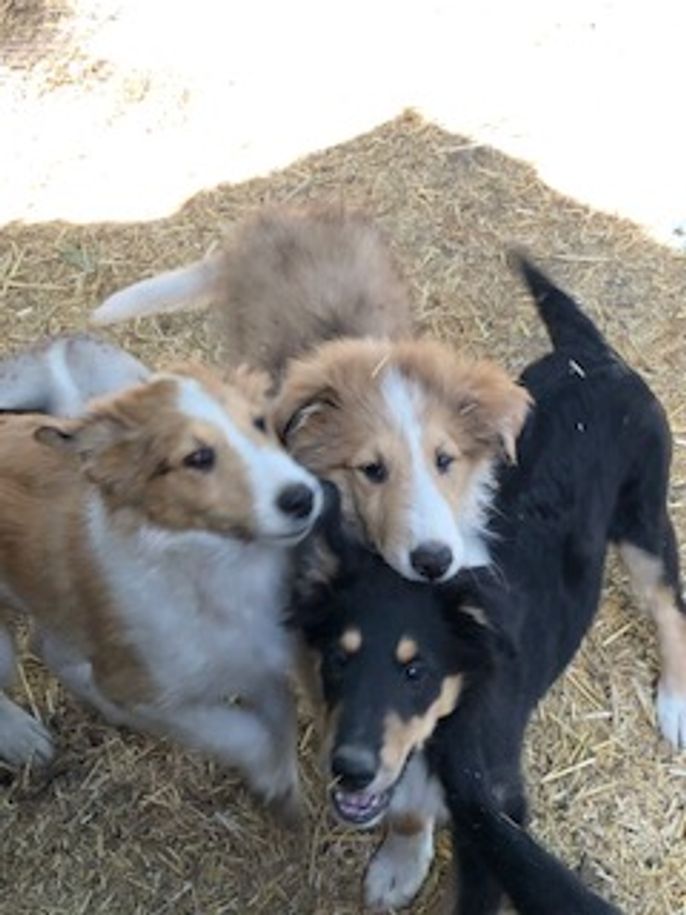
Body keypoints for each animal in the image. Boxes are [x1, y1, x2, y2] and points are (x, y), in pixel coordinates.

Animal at [0, 362, 322, 816]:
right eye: (198, 458)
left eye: (260, 423)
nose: (301, 498)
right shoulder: (145, 688)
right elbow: (240, 732)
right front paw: (269, 778)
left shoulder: (260, 660)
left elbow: (280, 720)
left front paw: (282, 789)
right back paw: (23, 739)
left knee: (53, 650)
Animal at [290, 259, 685, 912]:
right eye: (337, 660)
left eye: (416, 670)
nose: (348, 769)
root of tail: (592, 356)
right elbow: (407, 805)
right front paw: (402, 862)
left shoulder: (495, 810)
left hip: (644, 520)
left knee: (668, 605)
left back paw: (675, 700)